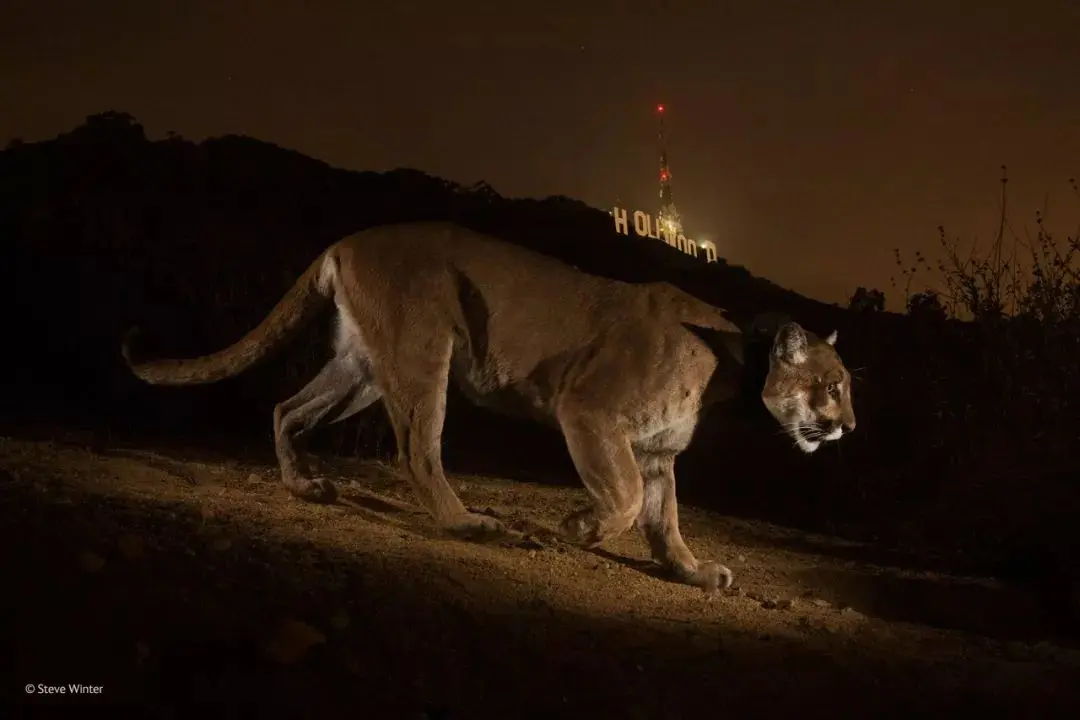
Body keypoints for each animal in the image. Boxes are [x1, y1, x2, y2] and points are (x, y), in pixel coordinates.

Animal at [122, 223, 855, 591]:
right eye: (833, 384)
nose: (849, 425)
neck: (734, 364)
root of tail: (347, 241)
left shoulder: (656, 453)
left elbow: (664, 522)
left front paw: (694, 571)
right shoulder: (589, 410)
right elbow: (621, 501)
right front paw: (578, 526)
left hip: (363, 366)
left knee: (286, 408)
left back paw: (306, 485)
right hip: (425, 350)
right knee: (418, 450)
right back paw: (470, 524)